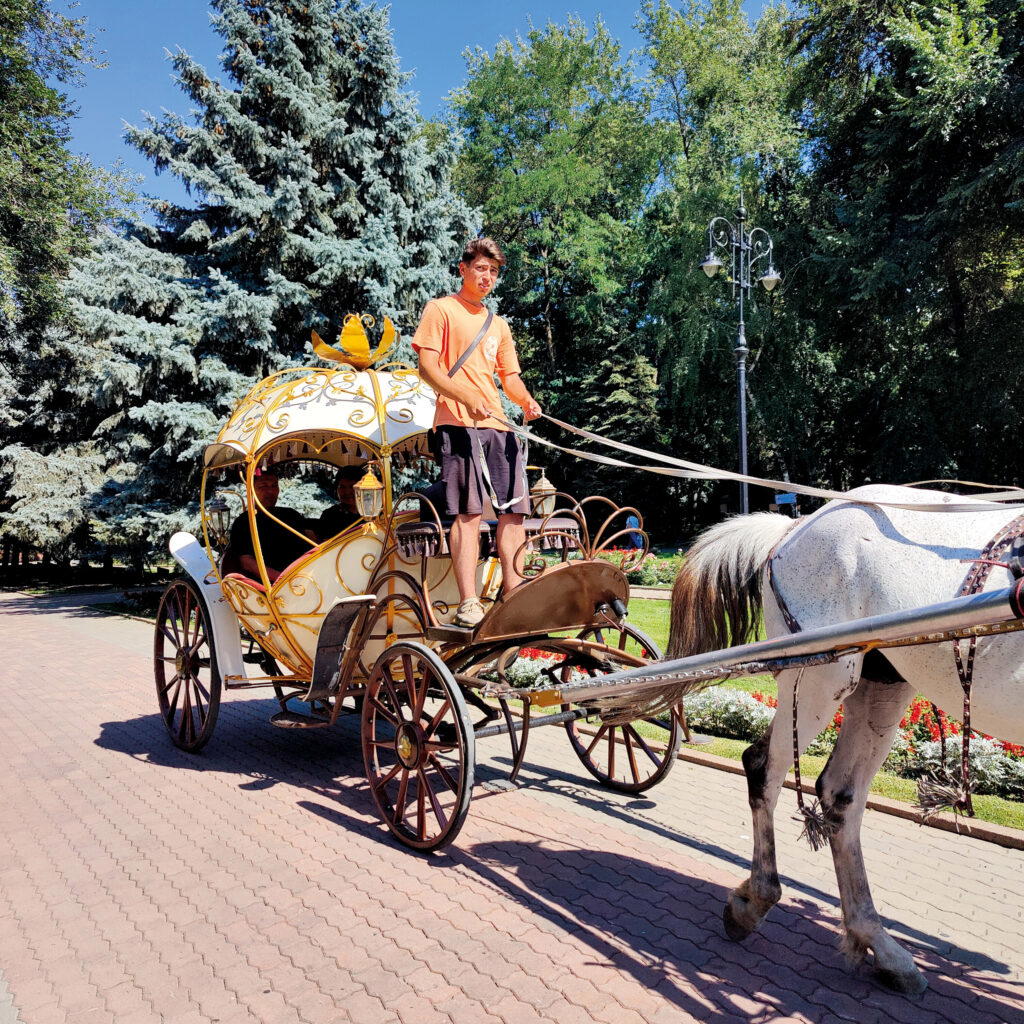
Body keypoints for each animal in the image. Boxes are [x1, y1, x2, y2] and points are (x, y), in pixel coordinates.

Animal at [668, 484, 1024, 994]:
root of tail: (796, 525)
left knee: (840, 797)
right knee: (764, 768)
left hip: (881, 679)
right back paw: (756, 899)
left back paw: (880, 945)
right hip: (817, 676)